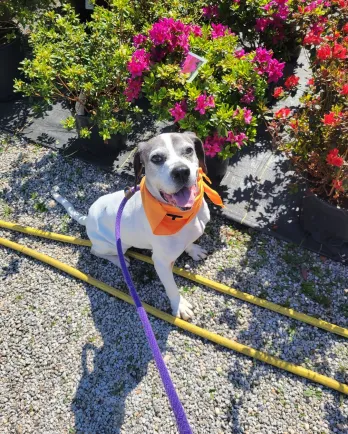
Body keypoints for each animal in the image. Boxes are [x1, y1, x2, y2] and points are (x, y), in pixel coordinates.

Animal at [53, 131, 222, 318]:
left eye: (189, 150)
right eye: (156, 158)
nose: (181, 172)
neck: (180, 216)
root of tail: (87, 218)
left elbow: (189, 243)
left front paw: (193, 250)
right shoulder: (161, 262)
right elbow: (171, 288)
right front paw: (179, 306)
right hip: (115, 245)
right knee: (95, 251)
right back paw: (119, 260)